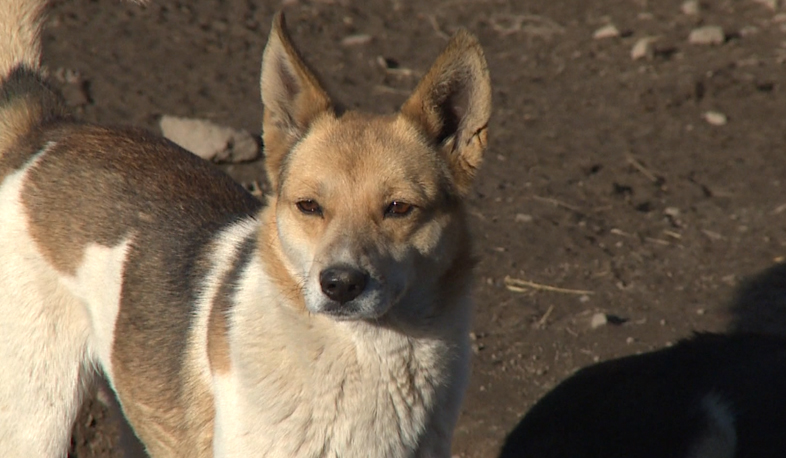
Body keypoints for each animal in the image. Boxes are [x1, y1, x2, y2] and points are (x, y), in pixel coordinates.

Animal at [0, 0, 490, 458]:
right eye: (309, 206)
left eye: (399, 208)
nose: (339, 284)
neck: (364, 352)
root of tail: (49, 128)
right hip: (38, 417)